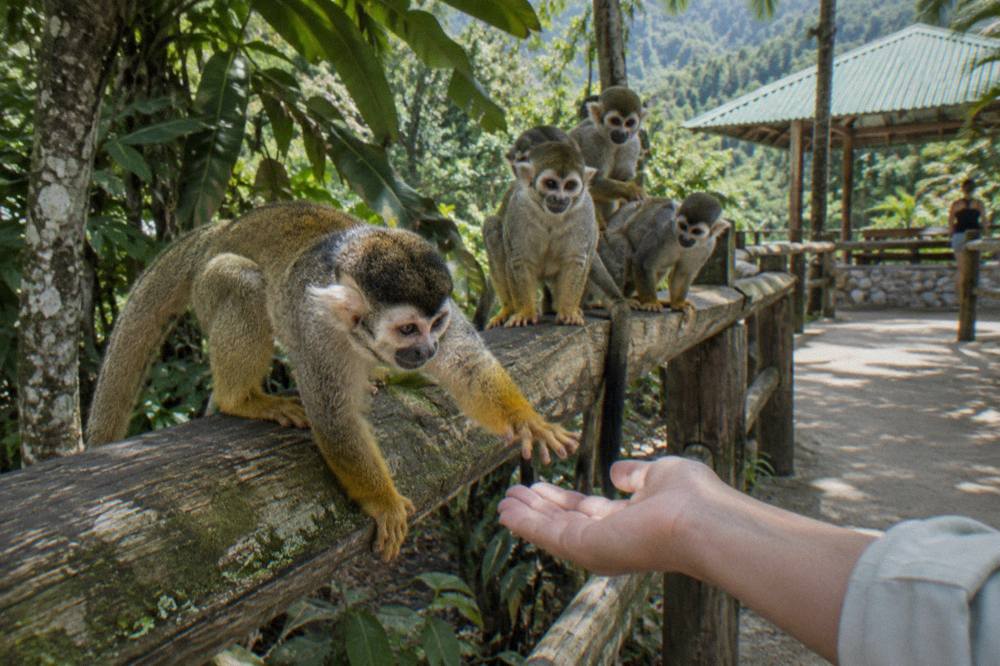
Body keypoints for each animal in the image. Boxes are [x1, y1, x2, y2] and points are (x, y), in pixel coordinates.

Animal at [86, 202, 579, 561]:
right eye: (408, 330)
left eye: (436, 324)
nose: (427, 352)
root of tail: (221, 229)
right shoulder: (316, 329)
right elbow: (335, 420)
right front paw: (384, 502)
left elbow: (471, 370)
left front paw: (528, 422)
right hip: (211, 281)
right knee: (241, 280)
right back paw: (242, 399)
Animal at [483, 140, 598, 329]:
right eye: (551, 183)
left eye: (570, 186)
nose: (560, 199)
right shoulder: (519, 206)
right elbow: (519, 258)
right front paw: (525, 312)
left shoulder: (585, 209)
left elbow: (575, 260)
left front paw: (568, 311)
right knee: (492, 227)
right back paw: (508, 309)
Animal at [569, 86, 646, 225]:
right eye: (615, 121)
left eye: (629, 123)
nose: (622, 133)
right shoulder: (593, 141)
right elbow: (591, 181)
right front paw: (630, 190)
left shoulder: (633, 142)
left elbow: (622, 177)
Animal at [595, 193, 730, 317]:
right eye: (683, 226)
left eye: (696, 231)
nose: (685, 238)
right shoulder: (663, 231)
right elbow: (642, 262)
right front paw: (651, 302)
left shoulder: (706, 247)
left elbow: (683, 273)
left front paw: (678, 303)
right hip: (608, 240)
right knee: (623, 248)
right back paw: (618, 300)